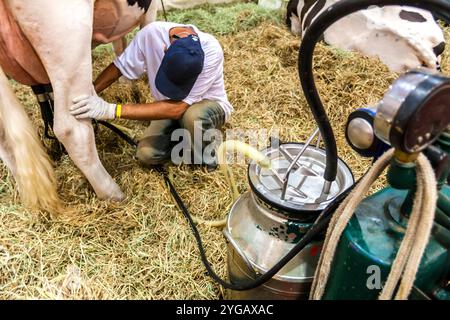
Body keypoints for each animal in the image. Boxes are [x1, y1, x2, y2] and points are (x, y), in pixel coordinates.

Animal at [0, 0, 158, 212]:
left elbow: (121, 48)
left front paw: (126, 84)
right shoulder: (151, 8)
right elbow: (147, 33)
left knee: (6, 143)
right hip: (67, 35)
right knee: (72, 130)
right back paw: (114, 195)